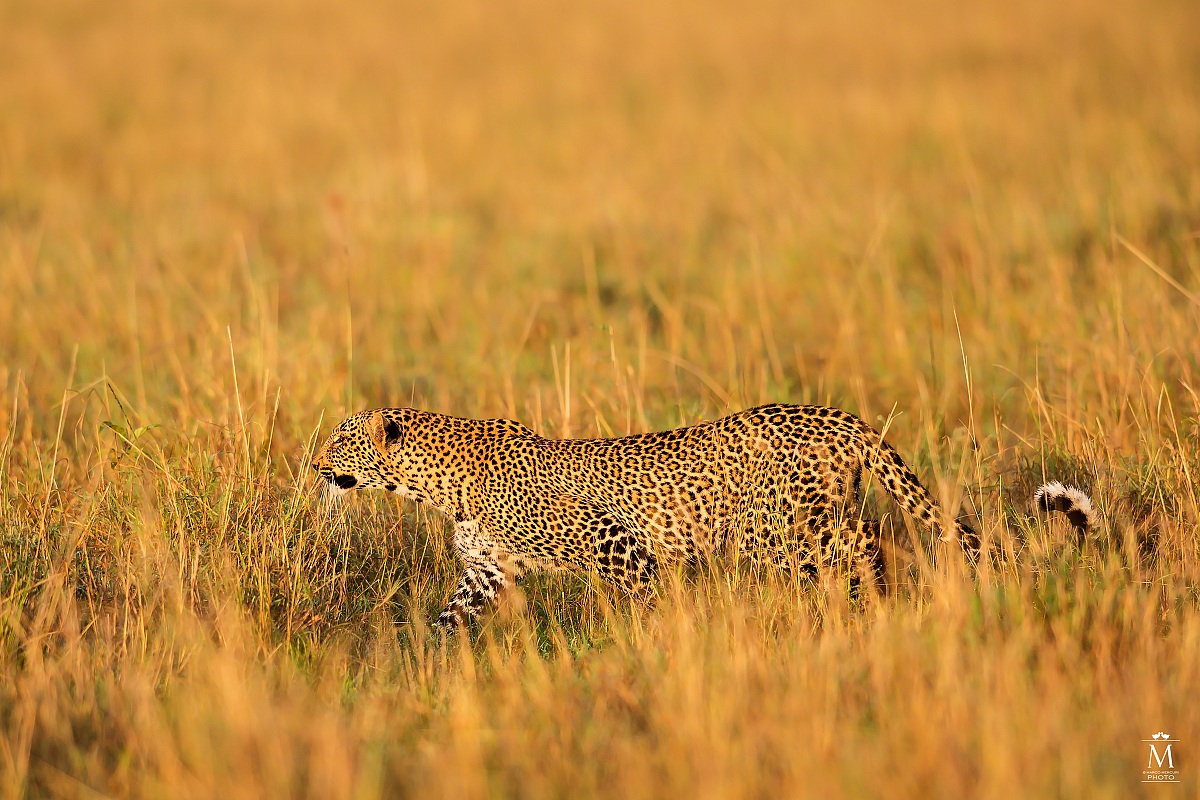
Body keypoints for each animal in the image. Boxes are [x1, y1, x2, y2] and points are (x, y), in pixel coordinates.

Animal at [311, 403, 997, 628]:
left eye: (340, 442)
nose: (313, 466)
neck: (432, 487)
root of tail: (839, 416)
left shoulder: (618, 543)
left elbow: (649, 596)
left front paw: (659, 638)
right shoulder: (486, 574)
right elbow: (448, 620)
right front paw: (423, 661)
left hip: (783, 529)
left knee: (866, 550)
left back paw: (874, 609)